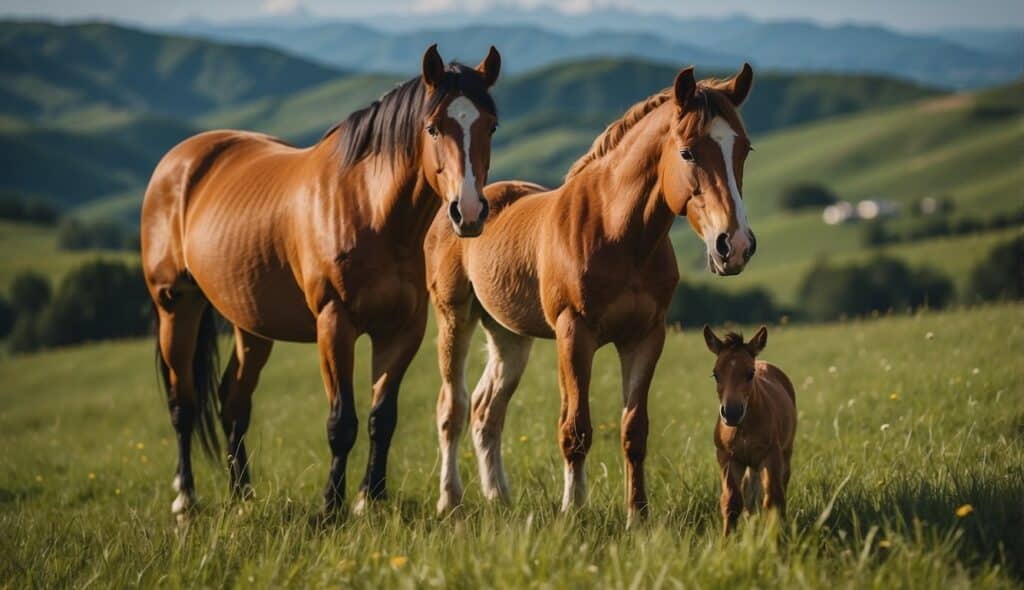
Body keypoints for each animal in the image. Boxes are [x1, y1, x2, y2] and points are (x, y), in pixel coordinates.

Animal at [139, 45, 499, 516]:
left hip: (250, 324)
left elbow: (382, 418)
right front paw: (331, 506)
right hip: (176, 305)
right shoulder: (334, 324)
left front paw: (370, 500)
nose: (469, 212)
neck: (370, 209)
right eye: (433, 127)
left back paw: (243, 496)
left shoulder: (403, 330)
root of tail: (178, 161)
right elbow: (341, 422)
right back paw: (185, 500)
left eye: (490, 124)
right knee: (182, 403)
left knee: (233, 401)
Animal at [421, 62, 753, 518]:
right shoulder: (574, 334)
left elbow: (634, 430)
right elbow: (575, 428)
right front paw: (574, 510)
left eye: (744, 150)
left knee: (487, 411)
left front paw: (638, 514)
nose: (733, 246)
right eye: (687, 152)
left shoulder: (645, 337)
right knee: (452, 406)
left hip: (509, 336)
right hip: (455, 317)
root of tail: (458, 209)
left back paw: (499, 498)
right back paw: (449, 500)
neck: (617, 231)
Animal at [704, 325, 798, 536]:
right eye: (715, 374)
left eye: (750, 373)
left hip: (785, 452)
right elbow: (731, 501)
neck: (743, 428)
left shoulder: (770, 456)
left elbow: (773, 498)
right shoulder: (728, 458)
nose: (732, 412)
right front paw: (727, 541)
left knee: (782, 483)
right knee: (749, 489)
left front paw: (773, 538)